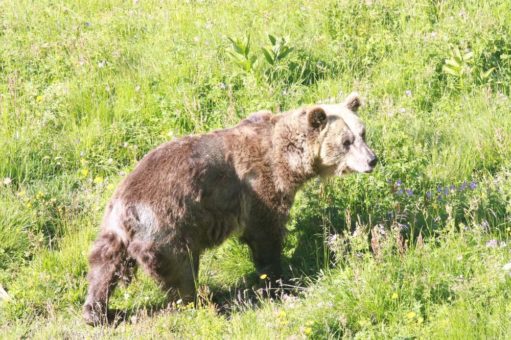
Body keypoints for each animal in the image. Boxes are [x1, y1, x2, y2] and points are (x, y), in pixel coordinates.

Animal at [83, 92, 376, 324]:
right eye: (346, 141)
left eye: (362, 133)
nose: (372, 159)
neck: (288, 159)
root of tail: (126, 210)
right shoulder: (259, 188)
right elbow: (266, 235)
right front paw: (277, 281)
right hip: (166, 228)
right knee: (182, 272)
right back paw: (204, 302)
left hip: (111, 228)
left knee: (103, 265)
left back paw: (98, 312)